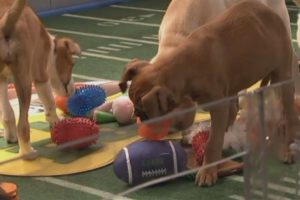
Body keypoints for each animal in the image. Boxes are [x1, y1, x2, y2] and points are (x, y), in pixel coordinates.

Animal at [0, 0, 81, 159]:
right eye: (72, 64)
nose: (74, 90)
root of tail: (5, 24)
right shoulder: (40, 75)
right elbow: (50, 102)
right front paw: (56, 122)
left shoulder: (2, 80)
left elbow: (7, 113)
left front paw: (11, 136)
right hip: (24, 81)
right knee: (23, 124)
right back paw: (28, 152)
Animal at [119, 0, 300, 187]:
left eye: (145, 111)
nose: (138, 116)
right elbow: (222, 127)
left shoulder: (219, 105)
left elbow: (213, 141)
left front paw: (208, 170)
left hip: (283, 77)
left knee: (289, 113)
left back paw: (288, 147)